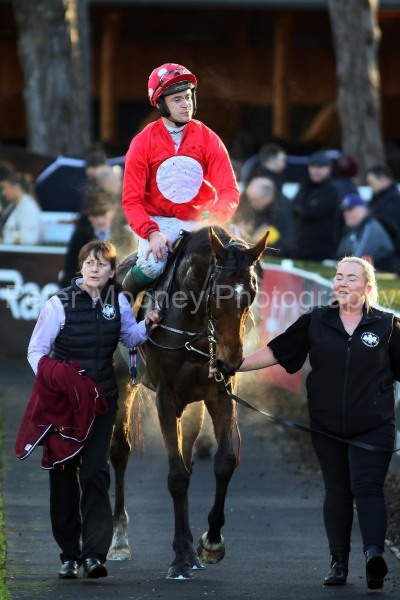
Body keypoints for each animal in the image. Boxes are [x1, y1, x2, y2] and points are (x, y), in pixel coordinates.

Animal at [108, 225, 269, 579]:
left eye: (251, 294)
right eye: (218, 294)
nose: (230, 361)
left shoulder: (221, 395)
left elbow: (223, 463)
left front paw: (210, 543)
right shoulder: (167, 399)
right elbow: (177, 476)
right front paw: (181, 557)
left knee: (188, 456)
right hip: (122, 384)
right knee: (120, 452)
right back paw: (119, 541)